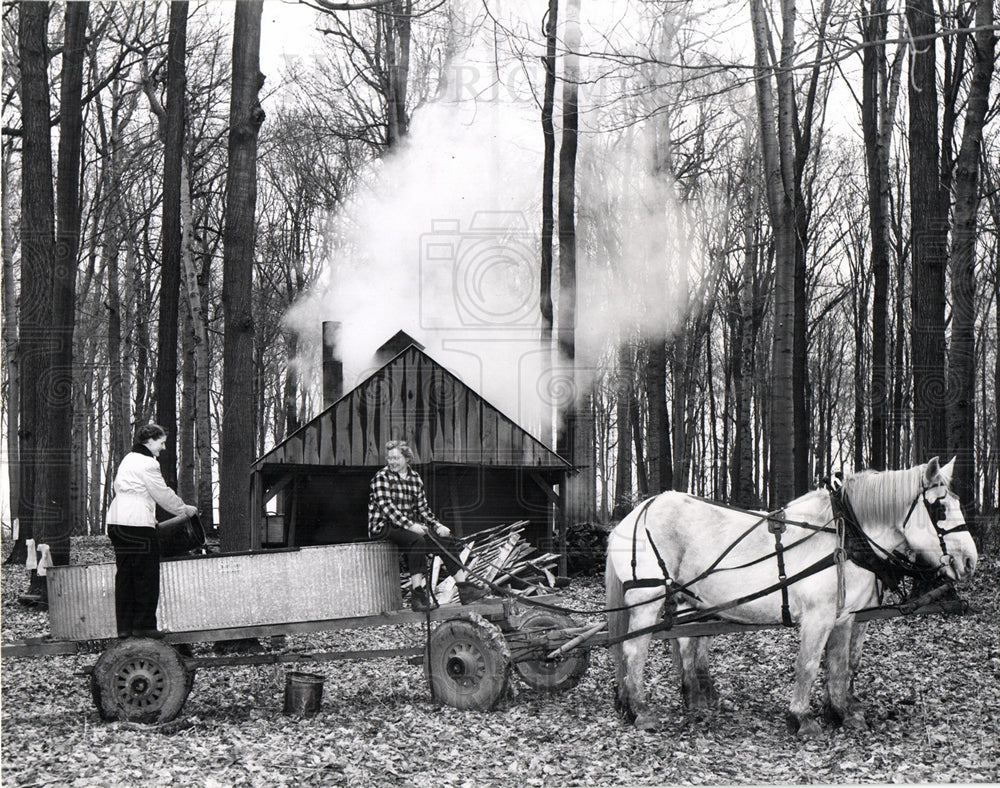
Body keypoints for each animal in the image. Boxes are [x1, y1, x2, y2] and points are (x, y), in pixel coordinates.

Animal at [604, 458, 980, 736]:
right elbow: (808, 665)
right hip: (649, 597)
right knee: (634, 650)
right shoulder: (818, 616)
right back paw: (641, 710)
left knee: (684, 643)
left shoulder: (844, 617)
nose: (970, 561)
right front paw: (802, 718)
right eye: (940, 509)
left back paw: (691, 703)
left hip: (687, 598)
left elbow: (840, 666)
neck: (846, 535)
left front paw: (843, 712)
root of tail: (636, 513)